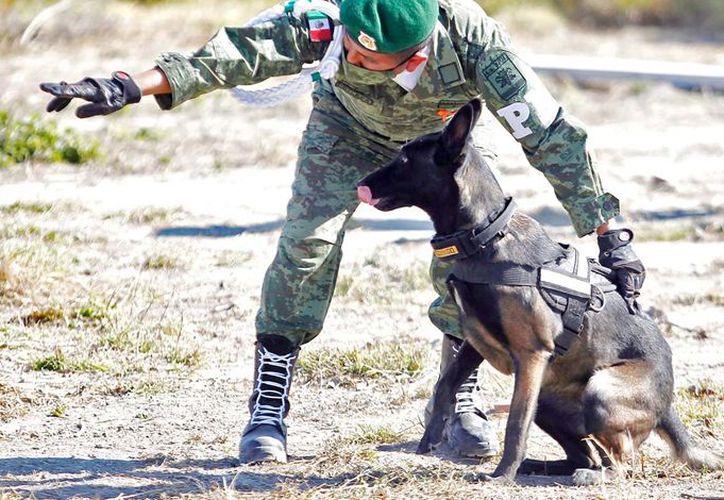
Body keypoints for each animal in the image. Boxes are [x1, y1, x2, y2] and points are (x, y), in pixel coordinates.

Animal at [358, 97, 724, 484]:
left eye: (404, 160)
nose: (361, 184)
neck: (486, 235)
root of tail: (668, 405)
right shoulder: (476, 340)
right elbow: (447, 382)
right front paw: (432, 435)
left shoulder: (531, 356)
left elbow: (516, 422)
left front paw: (502, 475)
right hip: (547, 397)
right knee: (588, 455)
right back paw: (544, 466)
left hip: (599, 391)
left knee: (622, 462)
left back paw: (586, 476)